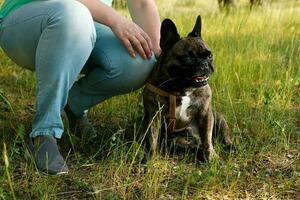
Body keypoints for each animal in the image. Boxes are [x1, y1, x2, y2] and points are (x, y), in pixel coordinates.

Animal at [142, 16, 232, 162]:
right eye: (188, 58)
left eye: (209, 55)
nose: (204, 64)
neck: (183, 89)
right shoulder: (153, 116)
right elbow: (152, 139)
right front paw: (150, 159)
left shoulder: (206, 114)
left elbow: (207, 139)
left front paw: (211, 157)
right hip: (176, 140)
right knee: (192, 146)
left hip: (218, 117)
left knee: (222, 136)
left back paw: (229, 146)